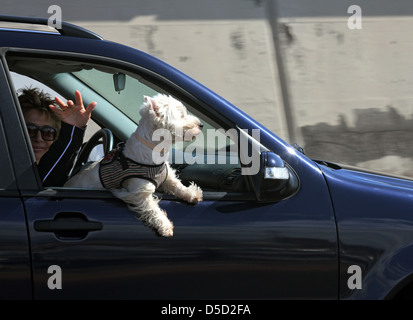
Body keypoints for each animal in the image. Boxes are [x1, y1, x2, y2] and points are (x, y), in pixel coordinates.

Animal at [65, 94, 204, 236]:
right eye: (181, 115)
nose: (201, 124)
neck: (155, 150)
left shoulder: (166, 175)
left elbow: (177, 185)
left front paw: (192, 194)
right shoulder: (138, 192)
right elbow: (152, 208)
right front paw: (165, 226)